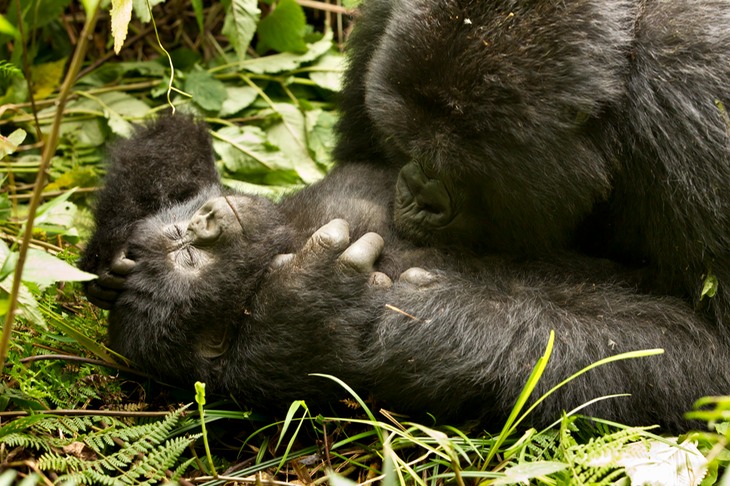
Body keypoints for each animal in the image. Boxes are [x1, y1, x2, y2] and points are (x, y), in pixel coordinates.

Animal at [81, 116, 728, 430]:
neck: (286, 233)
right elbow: (668, 347)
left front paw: (114, 264)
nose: (208, 220)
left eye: (180, 237)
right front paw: (316, 315)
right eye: (188, 259)